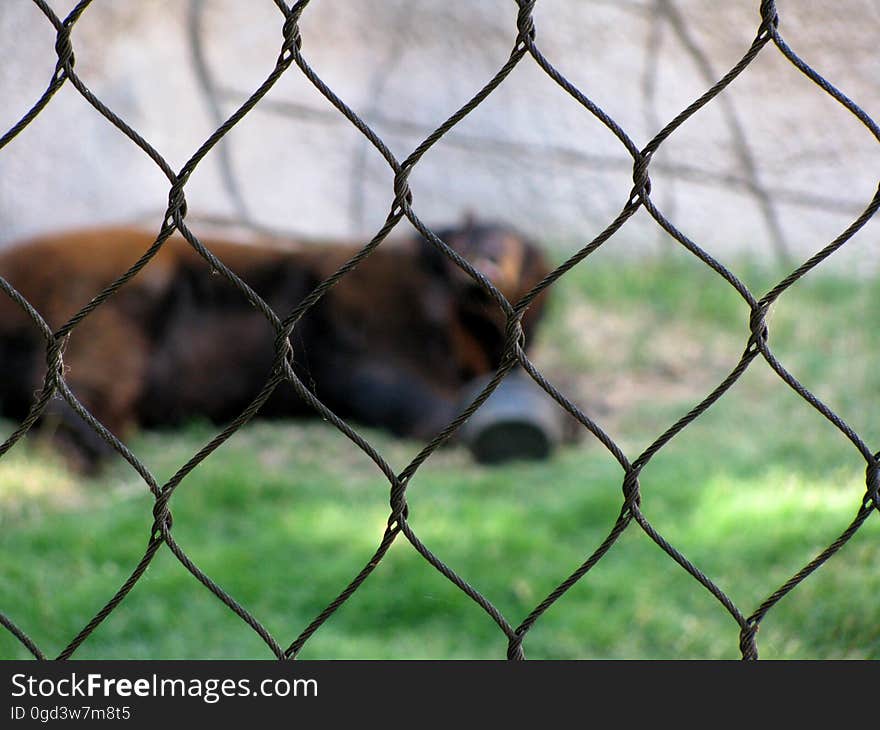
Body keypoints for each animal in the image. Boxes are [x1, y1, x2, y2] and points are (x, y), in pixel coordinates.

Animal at [0, 218, 552, 466]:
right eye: (476, 238)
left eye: (511, 246)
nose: (489, 256)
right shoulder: (367, 308)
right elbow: (376, 371)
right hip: (113, 293)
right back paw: (90, 441)